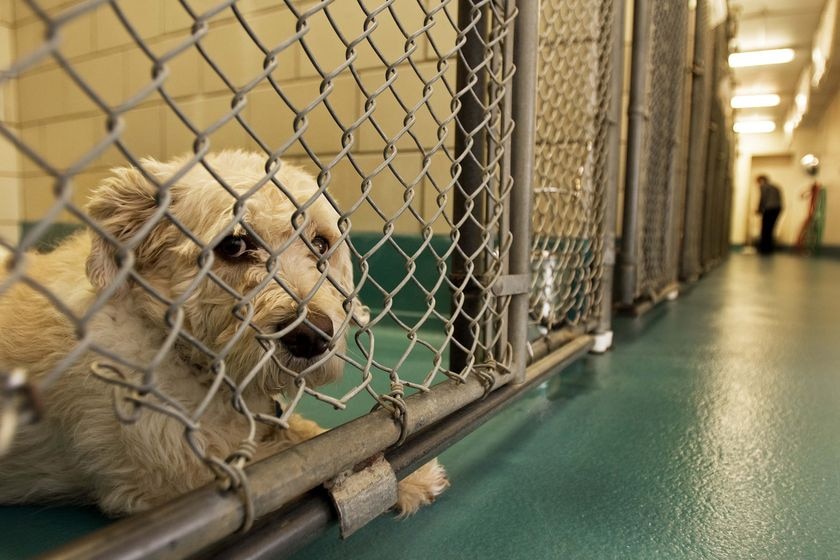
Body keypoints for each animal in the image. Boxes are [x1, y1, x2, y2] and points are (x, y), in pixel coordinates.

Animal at [0, 151, 446, 520]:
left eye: (320, 243)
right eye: (233, 245)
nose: (311, 336)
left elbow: (312, 438)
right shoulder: (185, 476)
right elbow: (311, 459)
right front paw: (406, 474)